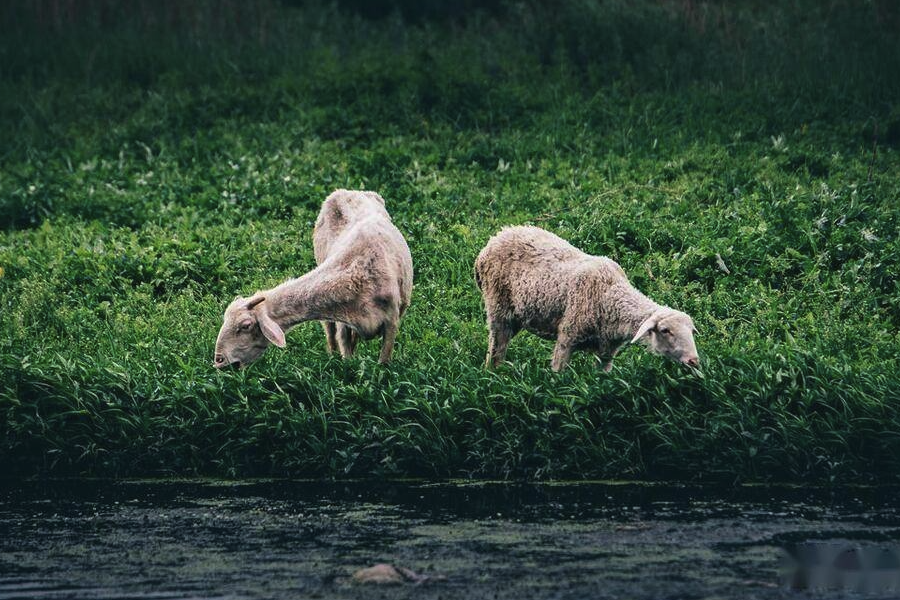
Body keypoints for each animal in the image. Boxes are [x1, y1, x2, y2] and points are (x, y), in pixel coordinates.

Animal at [214, 188, 414, 368]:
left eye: (246, 325)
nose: (218, 360)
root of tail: (346, 191)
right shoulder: (343, 321)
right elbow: (345, 351)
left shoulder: (392, 320)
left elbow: (384, 361)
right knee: (329, 329)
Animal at [474, 227, 700, 372]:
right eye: (665, 330)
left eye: (691, 331)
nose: (694, 361)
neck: (611, 295)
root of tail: (495, 238)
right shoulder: (567, 336)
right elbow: (558, 374)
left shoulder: (607, 353)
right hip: (498, 308)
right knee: (496, 349)